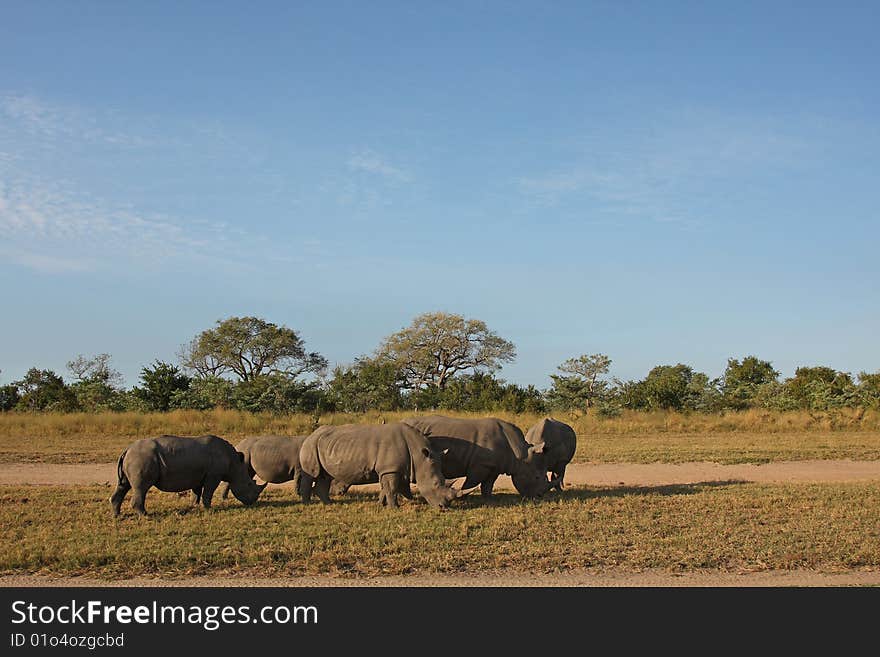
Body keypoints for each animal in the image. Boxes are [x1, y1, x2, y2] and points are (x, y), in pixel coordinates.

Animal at [109, 434, 264, 516]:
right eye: (249, 484)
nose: (253, 502)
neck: (234, 464)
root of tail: (127, 449)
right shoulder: (213, 475)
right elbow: (208, 492)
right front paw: (209, 509)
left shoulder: (199, 475)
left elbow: (196, 492)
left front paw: (194, 506)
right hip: (141, 458)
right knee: (141, 488)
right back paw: (145, 516)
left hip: (135, 458)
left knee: (124, 485)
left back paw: (117, 515)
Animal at [298, 420, 464, 508]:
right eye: (435, 484)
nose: (443, 507)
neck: (419, 456)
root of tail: (310, 435)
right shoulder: (390, 469)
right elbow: (391, 488)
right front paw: (394, 508)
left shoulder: (390, 469)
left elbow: (387, 488)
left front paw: (381, 504)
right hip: (310, 446)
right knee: (311, 474)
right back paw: (307, 504)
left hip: (321, 445)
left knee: (324, 476)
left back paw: (328, 503)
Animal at [402, 416, 552, 498]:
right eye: (537, 477)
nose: (539, 496)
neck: (520, 455)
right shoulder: (480, 465)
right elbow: (471, 482)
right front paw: (463, 497)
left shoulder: (495, 466)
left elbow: (488, 484)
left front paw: (488, 499)